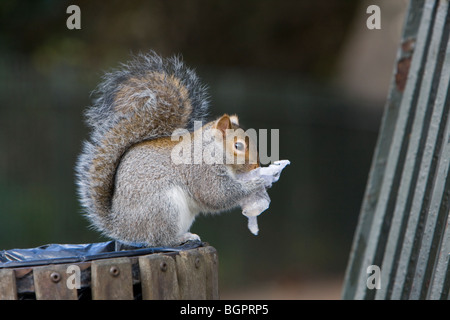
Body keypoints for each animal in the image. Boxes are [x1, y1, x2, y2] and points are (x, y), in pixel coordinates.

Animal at [73, 52, 264, 246]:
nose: (256, 166)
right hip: (164, 207)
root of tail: (122, 226)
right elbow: (218, 195)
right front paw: (256, 183)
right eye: (238, 146)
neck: (210, 148)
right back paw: (181, 238)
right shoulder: (202, 171)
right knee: (160, 240)